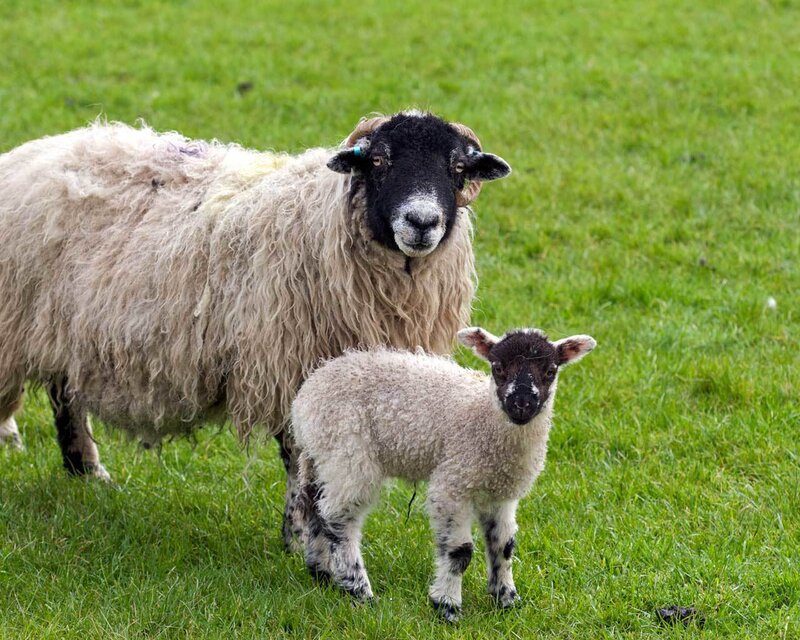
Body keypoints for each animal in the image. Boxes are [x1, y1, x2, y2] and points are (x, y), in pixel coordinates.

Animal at [0, 111, 512, 549]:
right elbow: (299, 459)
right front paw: (301, 538)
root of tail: (35, 151)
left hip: (63, 328)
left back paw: (86, 471)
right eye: (380, 160)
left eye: (458, 167)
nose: (421, 222)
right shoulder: (292, 366)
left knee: (64, 394)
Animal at [291, 327, 596, 621]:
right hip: (348, 453)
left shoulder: (500, 494)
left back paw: (321, 571)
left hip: (322, 457)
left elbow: (504, 546)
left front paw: (507, 600)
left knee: (314, 506)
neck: (484, 420)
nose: (521, 404)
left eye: (550, 370)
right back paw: (359, 590)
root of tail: (306, 395)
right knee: (339, 518)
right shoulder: (453, 482)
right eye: (497, 367)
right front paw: (447, 606)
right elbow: (460, 552)